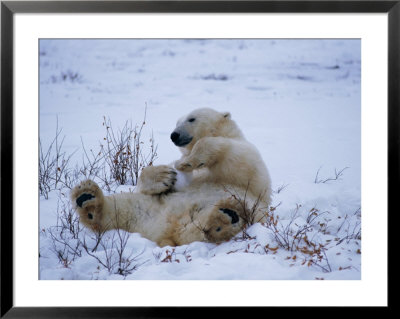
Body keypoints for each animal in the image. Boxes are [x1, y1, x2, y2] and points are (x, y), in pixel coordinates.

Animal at [72, 107, 272, 248]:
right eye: (177, 122)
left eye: (192, 118)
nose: (174, 135)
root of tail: (168, 229)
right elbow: (149, 182)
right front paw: (165, 175)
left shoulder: (245, 160)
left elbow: (229, 153)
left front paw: (189, 162)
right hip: (150, 210)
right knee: (124, 205)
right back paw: (87, 199)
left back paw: (225, 218)